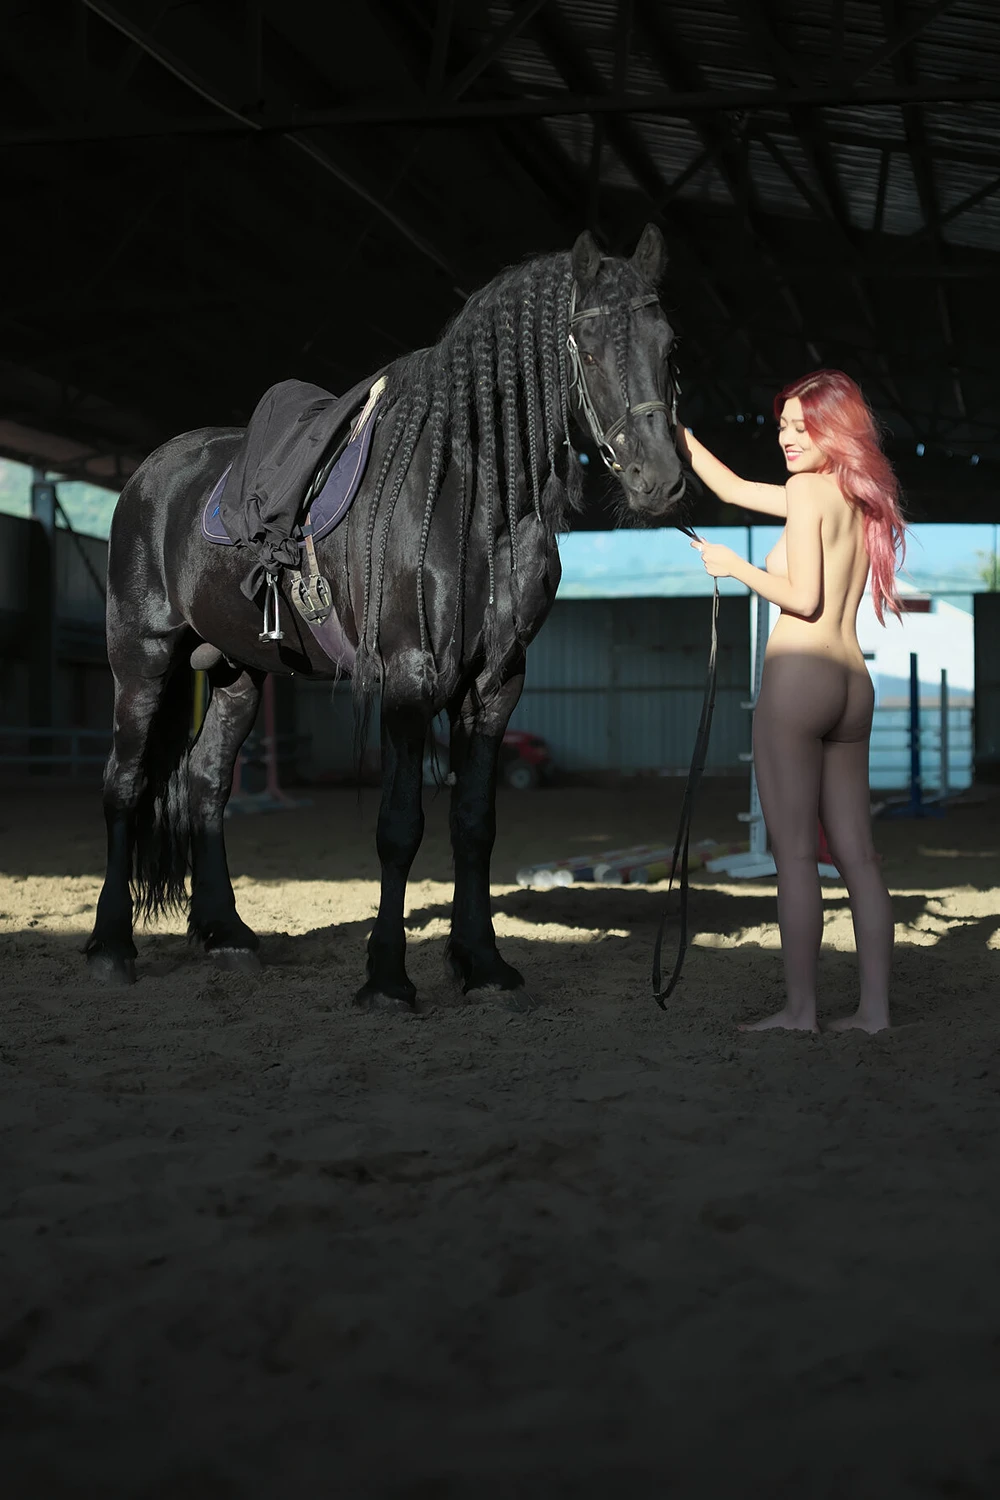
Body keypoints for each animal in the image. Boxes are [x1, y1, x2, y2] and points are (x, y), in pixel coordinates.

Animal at [85, 224, 687, 1012]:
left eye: (668, 345)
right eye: (585, 347)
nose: (661, 481)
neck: (470, 493)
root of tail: (149, 477)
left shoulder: (495, 684)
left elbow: (474, 825)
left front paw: (483, 965)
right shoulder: (410, 676)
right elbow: (400, 828)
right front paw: (387, 979)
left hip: (238, 672)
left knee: (205, 782)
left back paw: (228, 937)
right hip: (143, 658)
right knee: (124, 784)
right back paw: (111, 946)